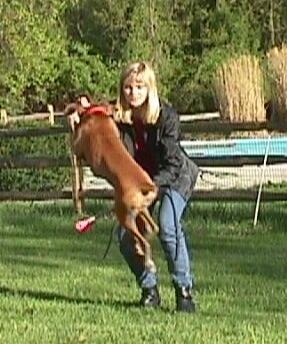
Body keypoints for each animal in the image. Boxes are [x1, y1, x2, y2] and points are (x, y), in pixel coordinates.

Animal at [64, 95, 160, 270]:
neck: (95, 113)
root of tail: (145, 185)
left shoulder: (76, 147)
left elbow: (73, 141)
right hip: (141, 210)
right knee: (152, 228)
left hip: (124, 215)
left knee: (143, 240)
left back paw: (147, 260)